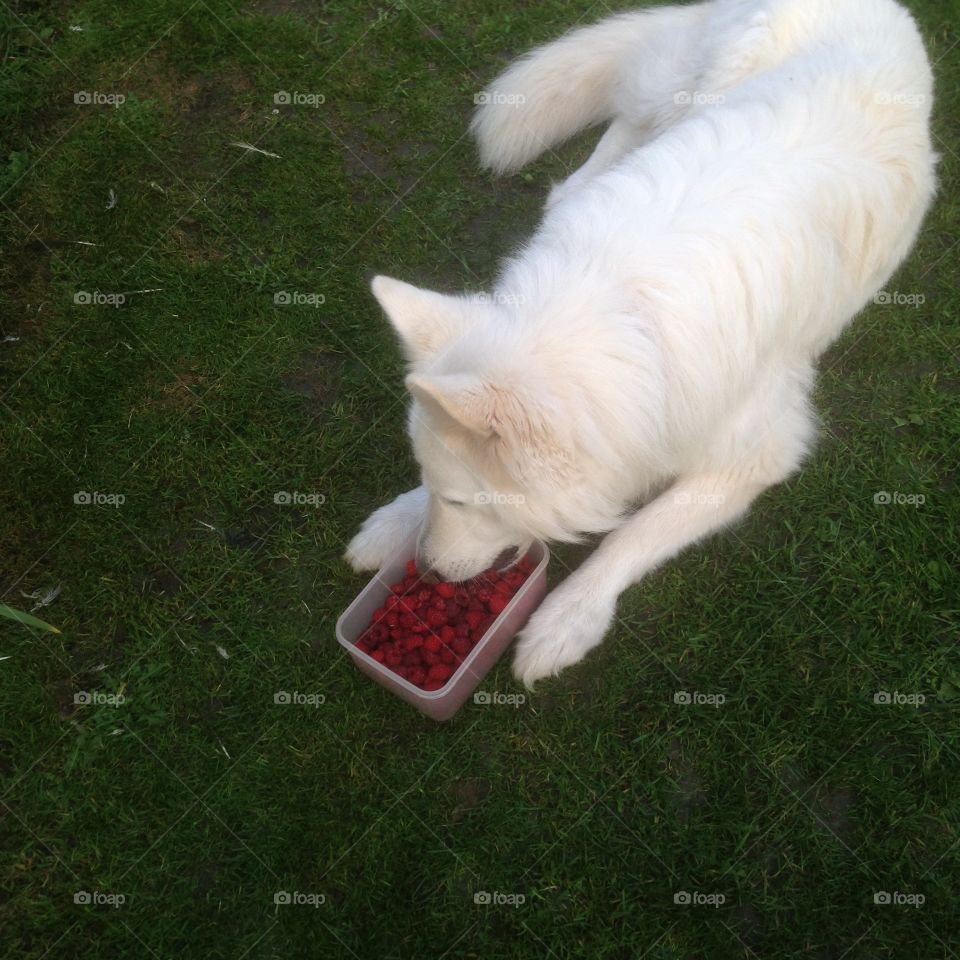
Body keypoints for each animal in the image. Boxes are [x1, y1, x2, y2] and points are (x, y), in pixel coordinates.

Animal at [346, 0, 936, 688]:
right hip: (696, 84)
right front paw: (397, 518)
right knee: (621, 130)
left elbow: (636, 534)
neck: (621, 306)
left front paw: (566, 619)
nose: (432, 573)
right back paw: (580, 184)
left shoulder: (757, 453)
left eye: (463, 500)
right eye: (437, 489)